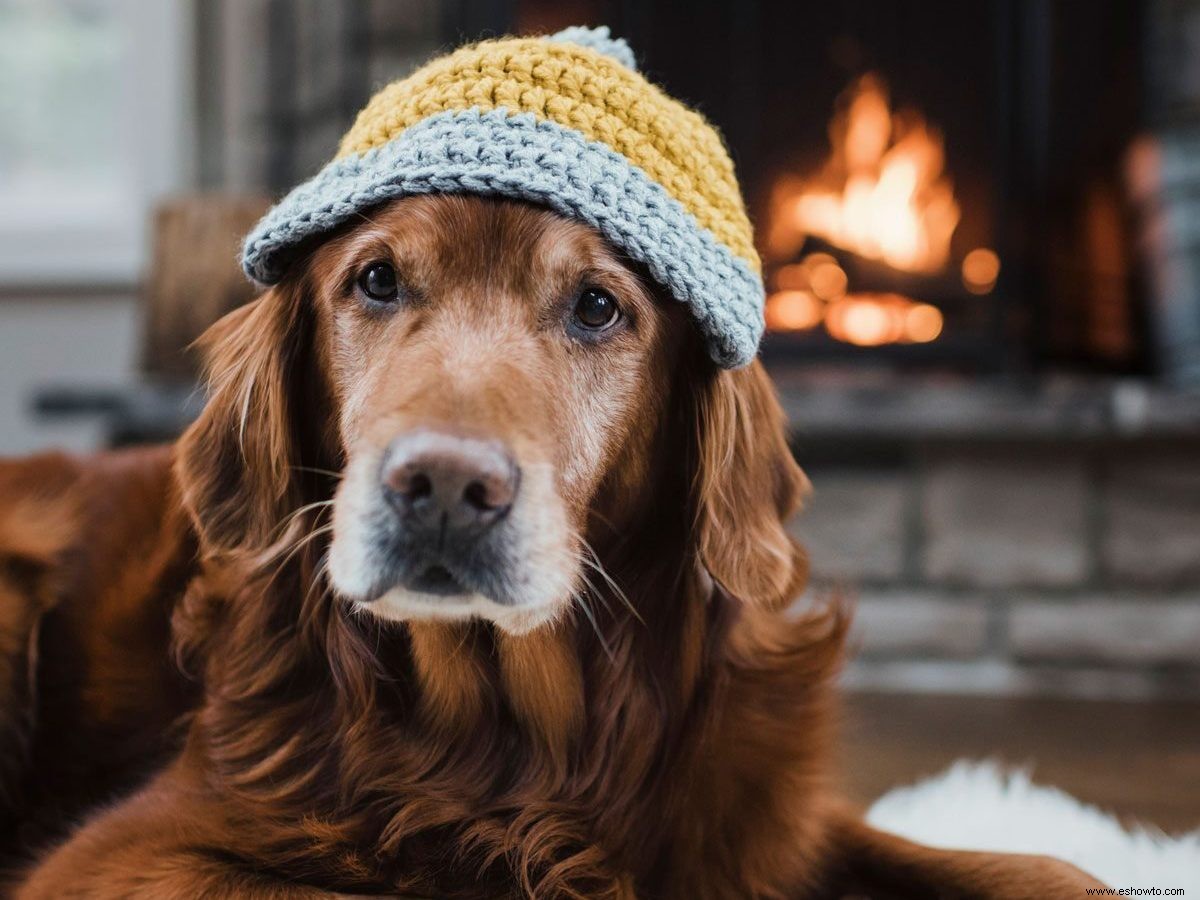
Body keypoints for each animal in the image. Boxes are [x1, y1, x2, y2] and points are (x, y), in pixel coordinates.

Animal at [0, 194, 1104, 897]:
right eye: (376, 281)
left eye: (598, 306)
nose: (444, 489)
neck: (521, 736)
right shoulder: (127, 852)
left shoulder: (760, 824)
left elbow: (1035, 867)